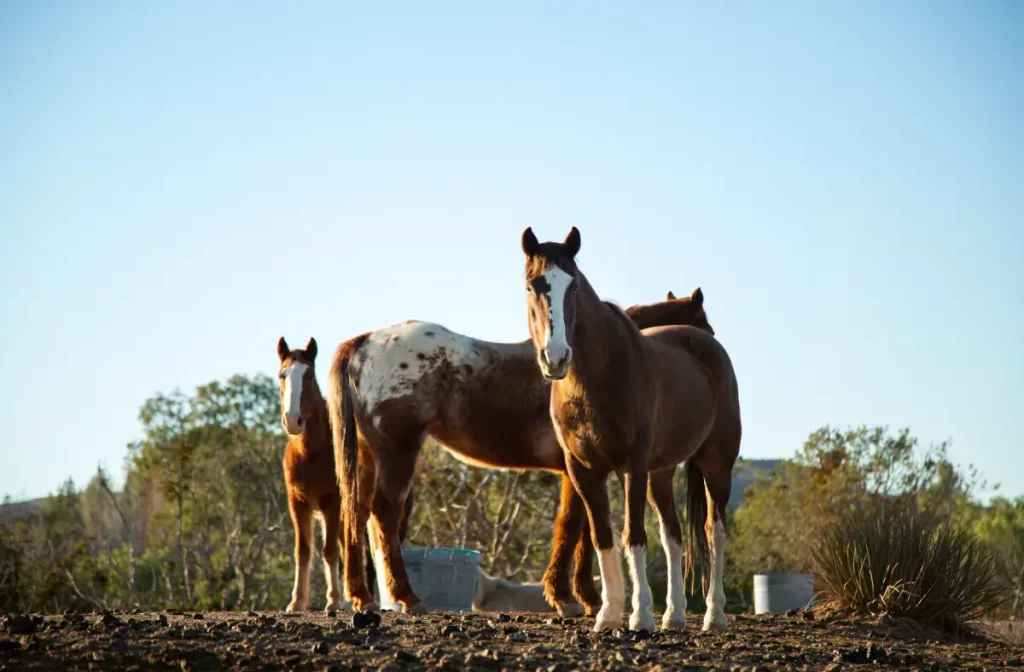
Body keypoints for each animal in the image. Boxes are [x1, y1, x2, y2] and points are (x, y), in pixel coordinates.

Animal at [277, 336, 413, 611]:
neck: (311, 453)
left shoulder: (333, 503)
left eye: (309, 375)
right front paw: (297, 602)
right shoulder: (297, 503)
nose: (293, 420)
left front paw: (333, 600)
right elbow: (303, 551)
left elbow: (330, 551)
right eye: (282, 375)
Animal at [328, 291, 714, 616]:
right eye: (704, 328)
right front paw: (572, 598)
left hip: (369, 457)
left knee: (356, 513)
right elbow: (574, 527)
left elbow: (581, 530)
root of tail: (364, 343)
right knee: (384, 514)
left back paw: (362, 597)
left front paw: (580, 597)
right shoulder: (577, 470)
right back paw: (407, 597)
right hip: (398, 452)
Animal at [520, 226, 741, 634]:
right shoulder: (582, 470)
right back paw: (674, 615)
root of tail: (709, 348)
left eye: (573, 285)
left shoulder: (631, 465)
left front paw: (639, 617)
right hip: (661, 473)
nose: (556, 358)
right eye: (532, 285)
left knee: (713, 531)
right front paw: (608, 614)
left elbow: (633, 536)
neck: (596, 377)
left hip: (717, 464)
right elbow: (602, 537)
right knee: (673, 535)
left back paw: (714, 616)